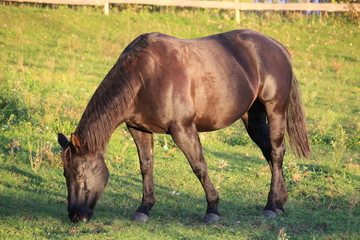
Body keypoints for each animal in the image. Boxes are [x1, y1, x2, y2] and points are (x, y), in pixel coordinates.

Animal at [57, 29, 310, 223]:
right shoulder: (139, 130)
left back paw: (271, 205)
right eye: (64, 174)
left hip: (275, 109)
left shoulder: (182, 129)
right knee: (270, 152)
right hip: (253, 118)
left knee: (276, 152)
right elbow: (146, 166)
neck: (145, 76)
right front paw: (144, 208)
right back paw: (280, 201)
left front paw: (212, 209)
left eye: (79, 174)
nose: (75, 216)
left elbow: (199, 166)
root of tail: (278, 47)